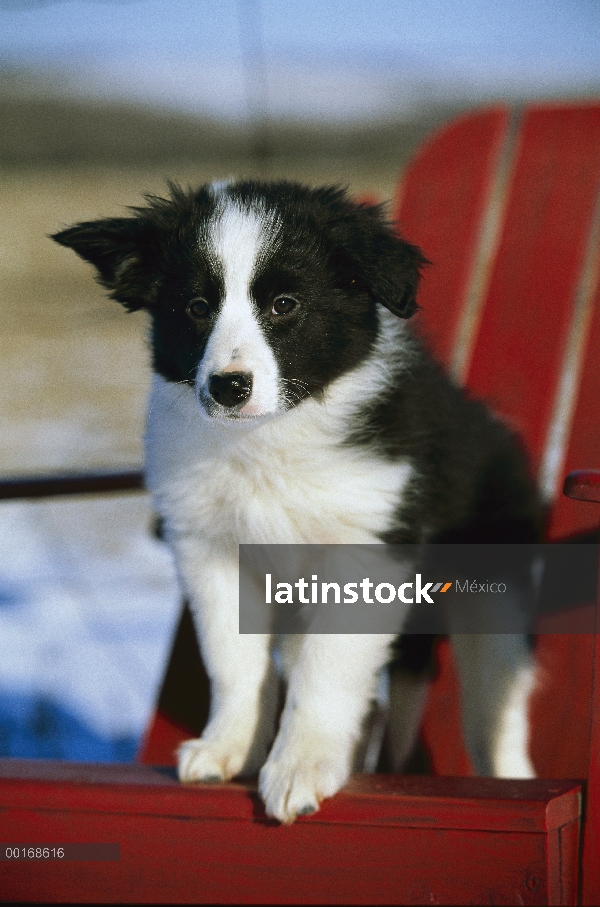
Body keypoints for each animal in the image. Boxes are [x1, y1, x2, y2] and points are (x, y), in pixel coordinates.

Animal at [52, 181, 540, 828]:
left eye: (284, 304)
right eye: (197, 307)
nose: (228, 387)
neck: (269, 442)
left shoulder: (366, 551)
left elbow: (326, 670)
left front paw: (302, 765)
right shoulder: (212, 548)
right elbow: (233, 660)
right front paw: (229, 747)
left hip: (496, 596)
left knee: (495, 706)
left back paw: (510, 777)